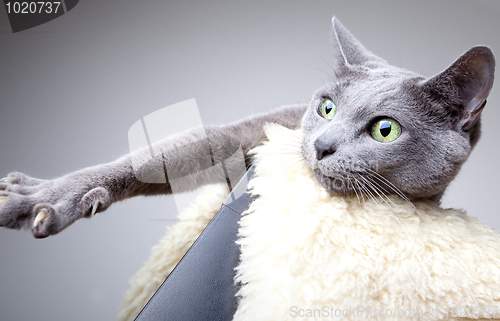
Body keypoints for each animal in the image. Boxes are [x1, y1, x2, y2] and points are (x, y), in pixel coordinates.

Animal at [0, 18, 494, 238]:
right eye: (327, 107)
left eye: (385, 130)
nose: (322, 145)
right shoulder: (257, 133)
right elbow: (163, 157)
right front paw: (39, 198)